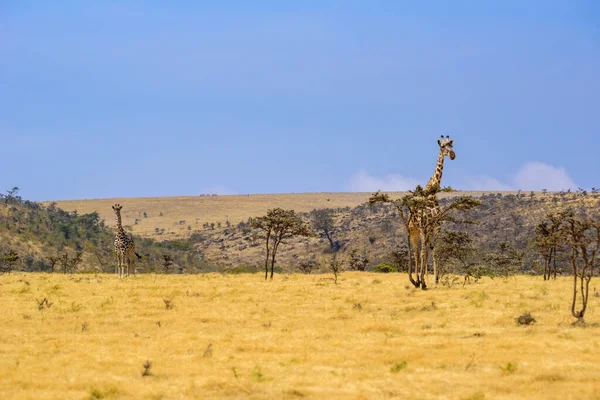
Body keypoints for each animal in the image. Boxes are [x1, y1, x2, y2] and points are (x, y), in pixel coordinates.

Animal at [410, 136, 458, 286]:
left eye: (451, 145)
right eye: (442, 146)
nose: (453, 155)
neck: (432, 193)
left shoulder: (435, 227)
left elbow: (434, 252)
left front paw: (434, 280)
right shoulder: (425, 227)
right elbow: (423, 253)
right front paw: (423, 280)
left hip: (425, 231)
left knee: (424, 251)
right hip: (414, 231)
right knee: (417, 252)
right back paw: (417, 280)